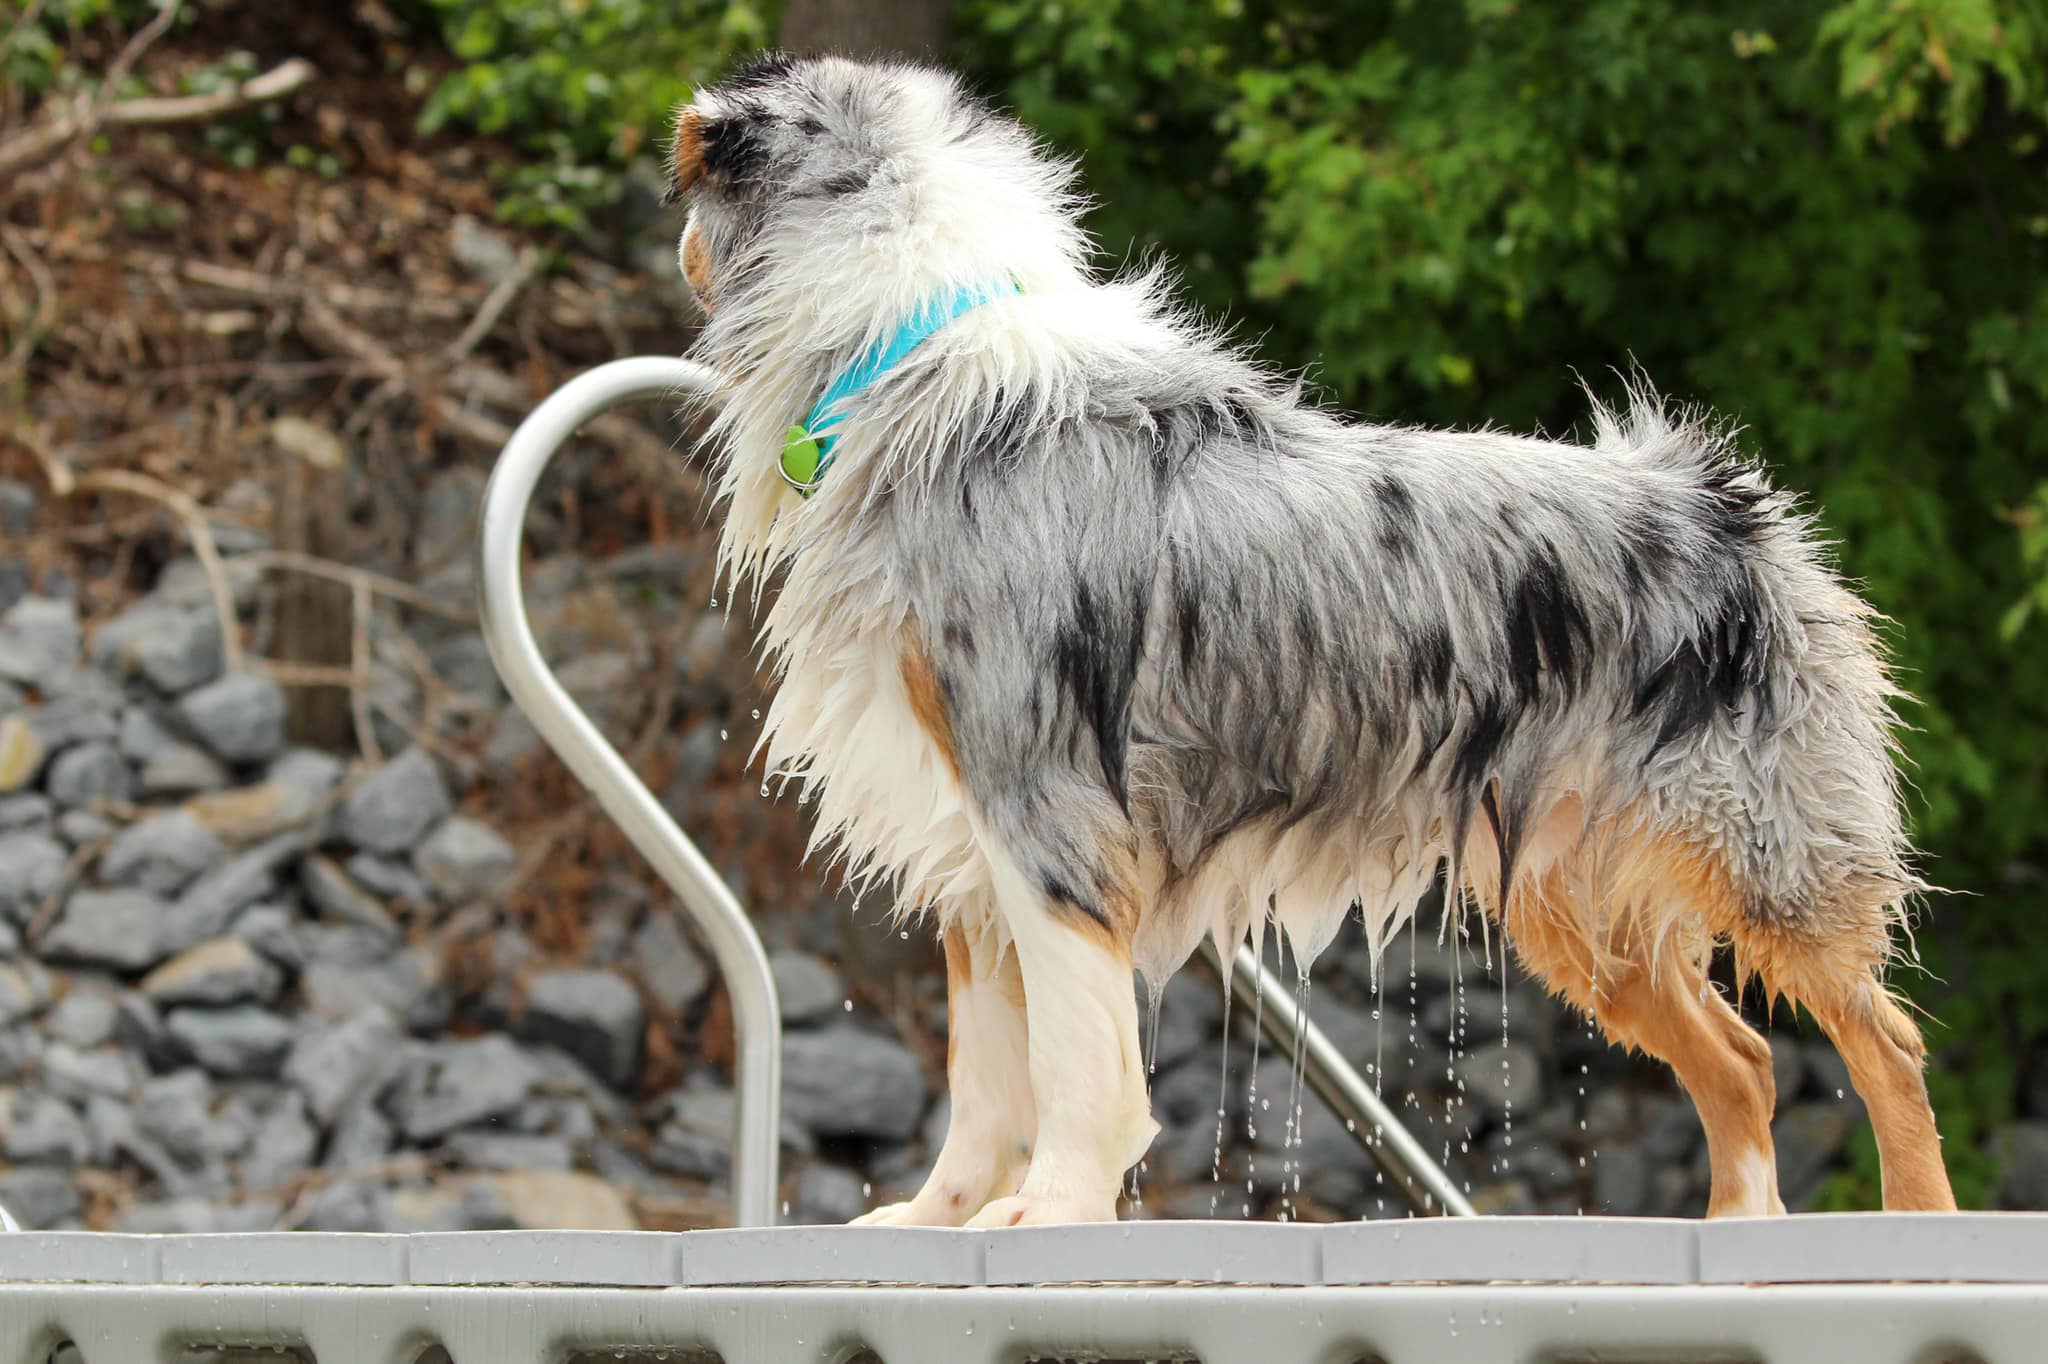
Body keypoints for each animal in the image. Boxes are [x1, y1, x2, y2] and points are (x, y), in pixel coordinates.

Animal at [667, 52, 1955, 1225]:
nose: (667, 238)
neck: (909, 347)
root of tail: (1728, 502)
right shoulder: (964, 820)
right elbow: (982, 1073)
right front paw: (938, 1218)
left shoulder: (1040, 798)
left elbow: (1075, 1063)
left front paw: (1053, 1209)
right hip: (1571, 895)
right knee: (1741, 1058)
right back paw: (1739, 1227)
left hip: (1767, 846)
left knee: (1884, 1042)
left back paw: (1914, 1223)